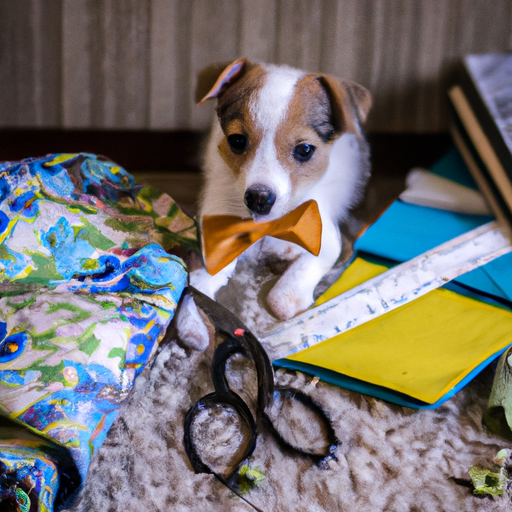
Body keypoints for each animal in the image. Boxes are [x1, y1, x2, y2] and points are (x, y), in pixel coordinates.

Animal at [190, 59, 370, 320]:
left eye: (305, 149)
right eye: (236, 140)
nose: (258, 198)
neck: (268, 228)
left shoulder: (329, 243)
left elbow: (283, 298)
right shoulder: (215, 229)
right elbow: (209, 272)